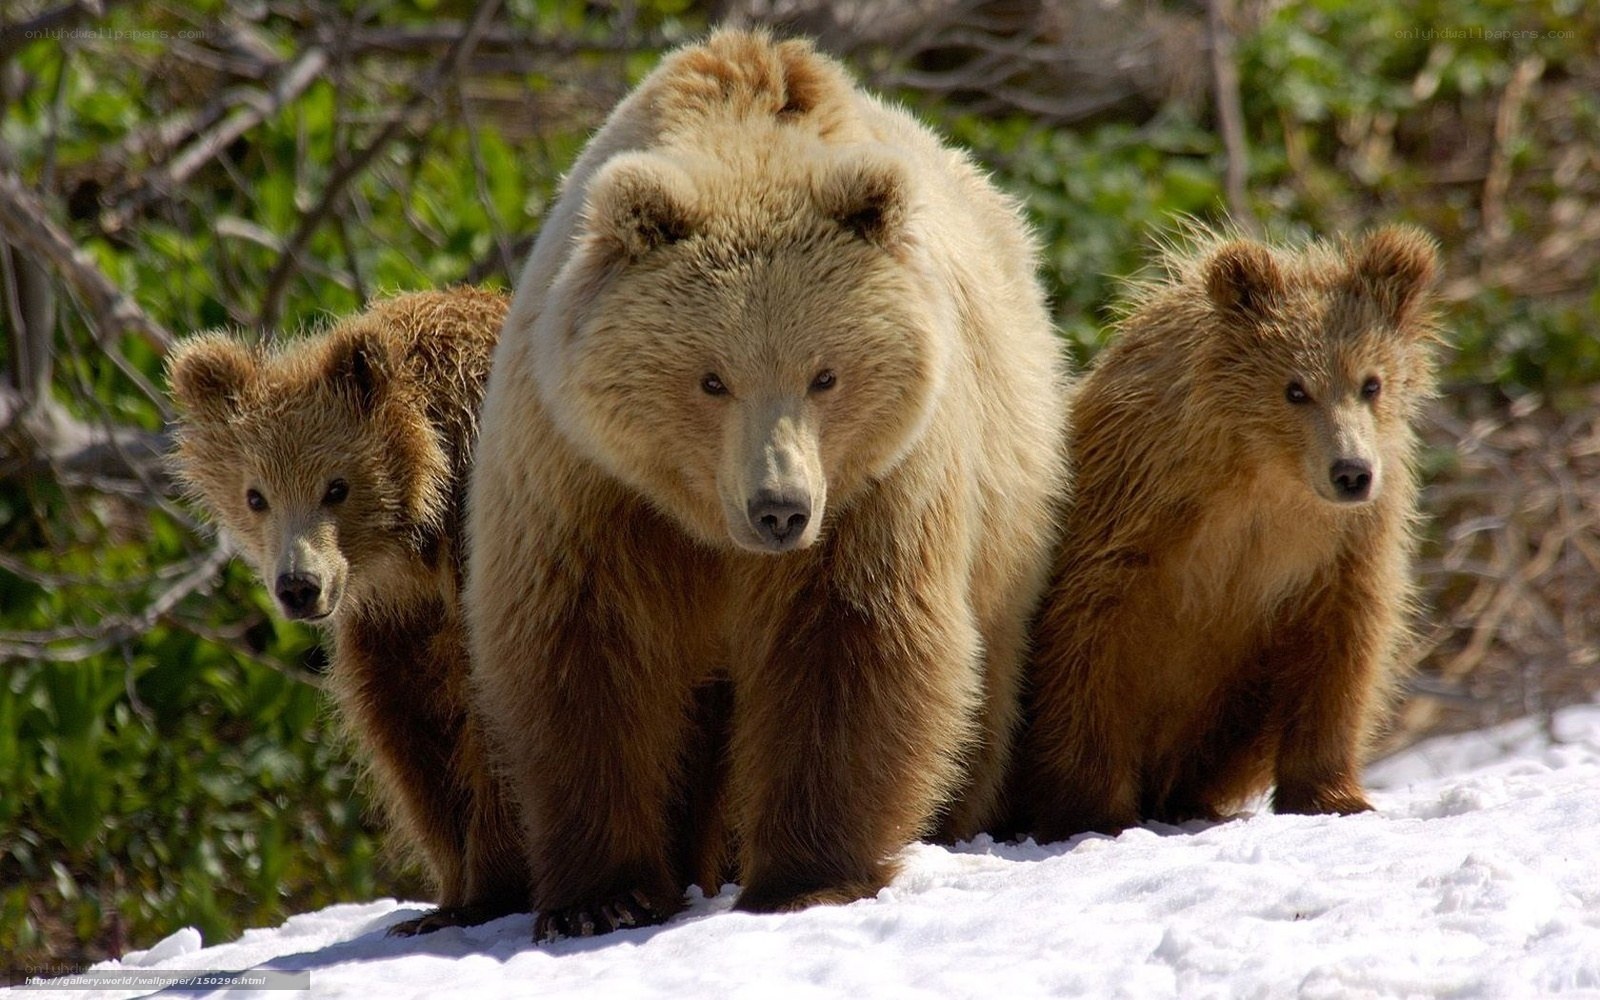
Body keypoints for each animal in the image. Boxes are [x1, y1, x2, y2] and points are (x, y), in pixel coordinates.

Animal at [165, 288, 528, 936]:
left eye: (336, 487)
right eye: (256, 496)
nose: (298, 586)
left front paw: (490, 891)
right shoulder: (394, 624)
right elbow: (409, 732)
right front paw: (445, 896)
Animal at [465, 28, 1071, 940]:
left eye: (825, 374)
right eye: (711, 379)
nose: (779, 508)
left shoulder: (877, 486)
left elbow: (850, 644)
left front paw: (806, 877)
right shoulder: (587, 482)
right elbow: (585, 655)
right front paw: (602, 897)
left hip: (1008, 506)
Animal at [1012, 225, 1441, 843]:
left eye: (1371, 383)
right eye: (1295, 389)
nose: (1351, 472)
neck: (1263, 477)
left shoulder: (1342, 548)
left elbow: (1341, 652)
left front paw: (1334, 796)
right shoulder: (1133, 517)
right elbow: (1086, 648)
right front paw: (1091, 812)